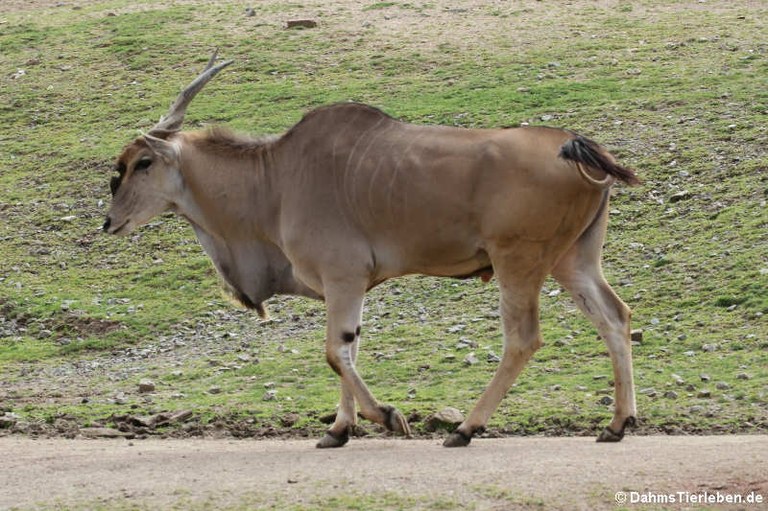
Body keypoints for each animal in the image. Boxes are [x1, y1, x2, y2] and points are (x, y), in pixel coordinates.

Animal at [105, 53, 640, 448]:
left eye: (142, 162)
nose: (109, 222)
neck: (276, 178)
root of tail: (573, 145)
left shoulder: (343, 277)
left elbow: (333, 352)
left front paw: (385, 416)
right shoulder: (350, 285)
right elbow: (349, 347)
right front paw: (338, 430)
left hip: (519, 261)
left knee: (523, 339)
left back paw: (466, 428)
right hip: (573, 260)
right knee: (614, 317)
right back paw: (617, 424)